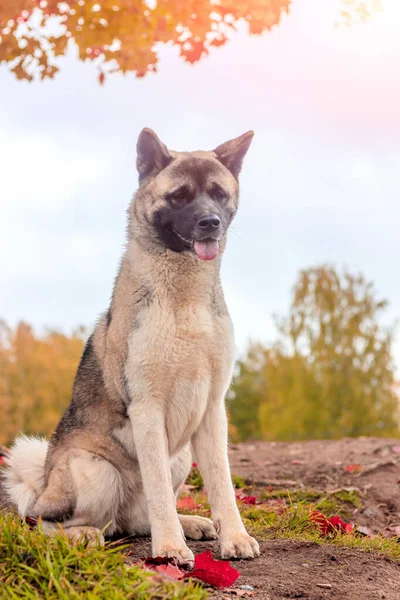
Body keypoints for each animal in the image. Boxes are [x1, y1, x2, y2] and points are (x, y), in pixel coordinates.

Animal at [4, 129, 260, 564]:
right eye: (179, 196)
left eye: (218, 194)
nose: (210, 222)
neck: (182, 302)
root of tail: (44, 483)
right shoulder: (147, 407)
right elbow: (158, 492)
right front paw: (170, 547)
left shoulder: (212, 410)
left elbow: (222, 486)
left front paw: (234, 537)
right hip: (96, 472)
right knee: (48, 523)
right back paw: (85, 534)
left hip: (180, 458)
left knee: (136, 520)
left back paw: (189, 524)